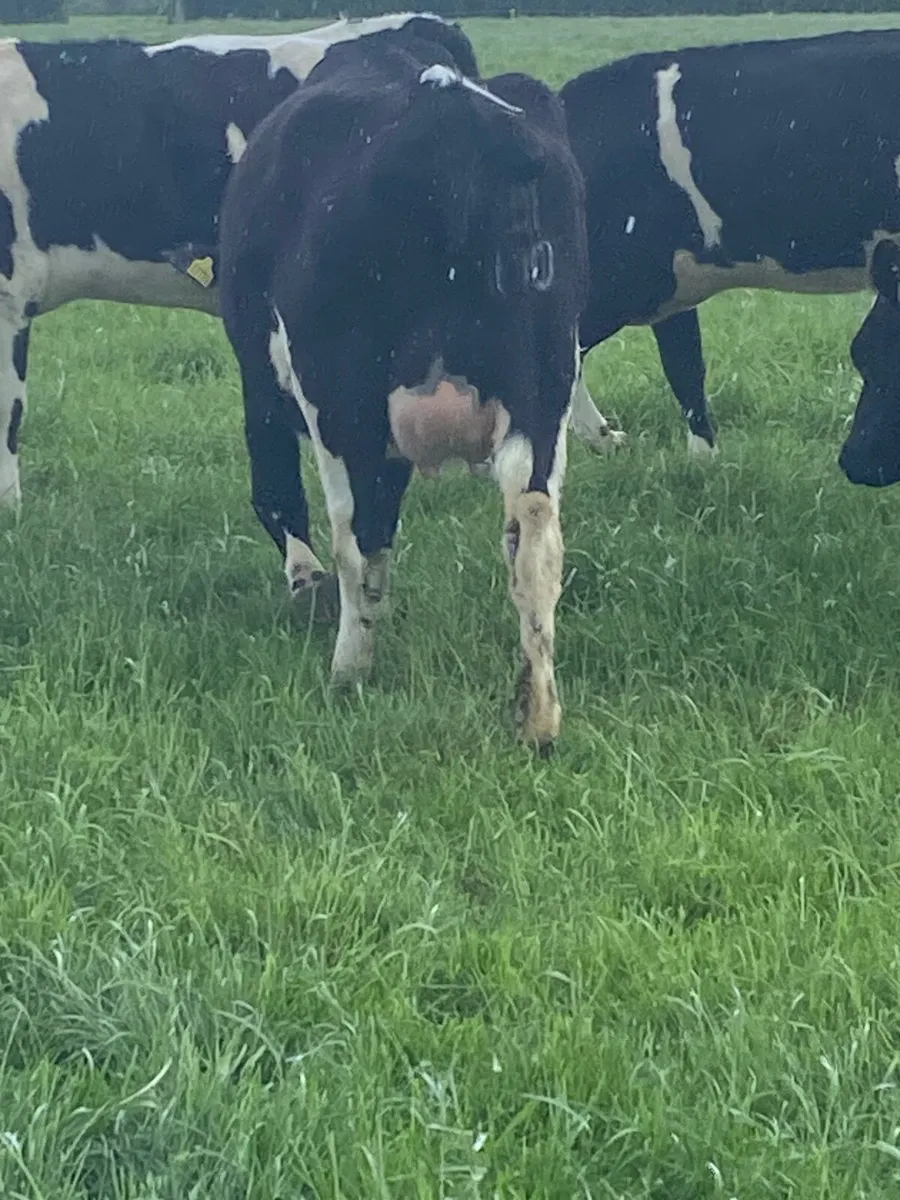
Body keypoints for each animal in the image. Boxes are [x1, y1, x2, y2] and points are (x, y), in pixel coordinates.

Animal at [217, 34, 589, 752]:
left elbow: (288, 499)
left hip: (343, 403)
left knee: (359, 540)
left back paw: (348, 673)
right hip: (545, 389)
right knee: (535, 534)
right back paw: (537, 717)